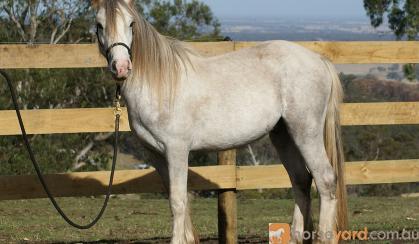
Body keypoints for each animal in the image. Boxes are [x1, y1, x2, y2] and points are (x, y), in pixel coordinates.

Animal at [93, 0, 350, 243]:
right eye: (99, 25)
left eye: (131, 24)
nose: (121, 68)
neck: (160, 84)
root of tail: (319, 60)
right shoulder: (156, 154)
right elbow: (176, 200)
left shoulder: (177, 150)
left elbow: (178, 200)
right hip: (283, 135)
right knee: (301, 181)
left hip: (306, 132)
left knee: (325, 180)